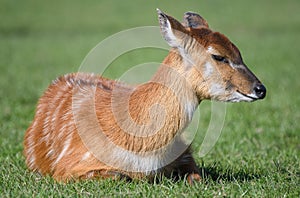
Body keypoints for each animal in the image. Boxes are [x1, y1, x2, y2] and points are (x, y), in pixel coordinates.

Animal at [24, 8, 266, 183]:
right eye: (218, 56)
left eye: (239, 52)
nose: (260, 89)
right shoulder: (67, 167)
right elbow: (118, 175)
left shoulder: (186, 152)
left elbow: (196, 176)